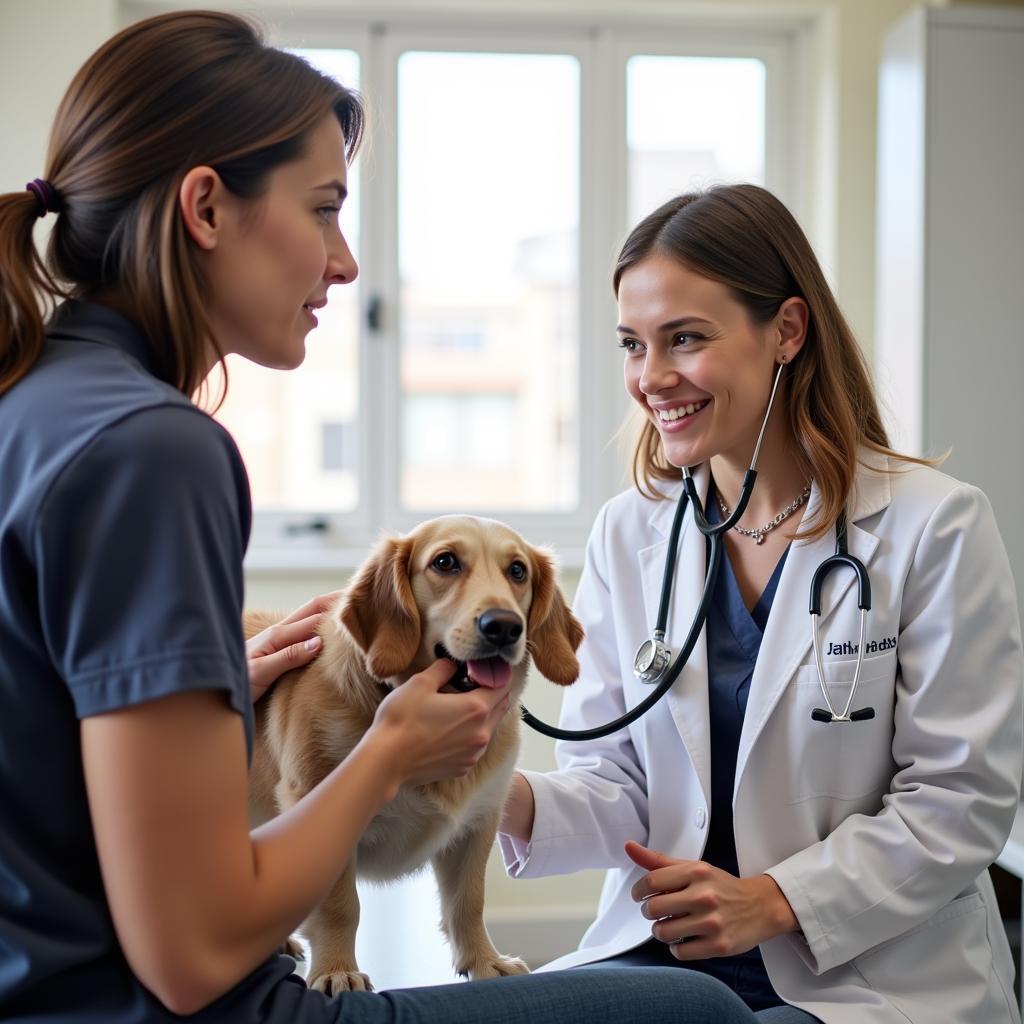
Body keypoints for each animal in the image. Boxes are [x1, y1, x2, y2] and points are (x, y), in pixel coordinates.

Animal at [244, 516, 585, 995]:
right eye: (445, 562)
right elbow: (340, 906)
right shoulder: (314, 804)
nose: (503, 626)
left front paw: (483, 960)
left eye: (518, 571)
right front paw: (335, 968)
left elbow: (468, 902)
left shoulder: (479, 822)